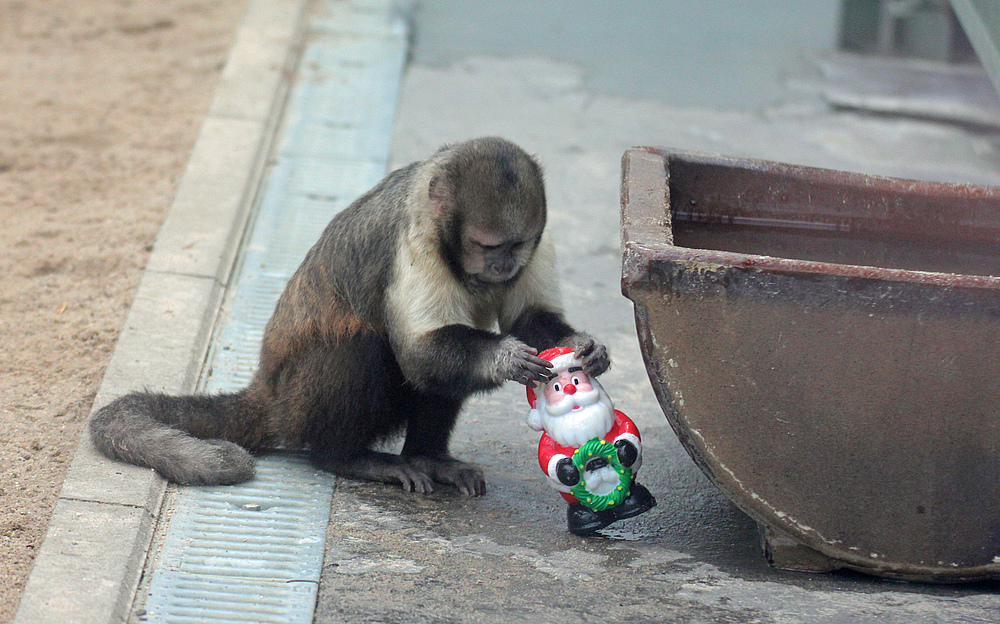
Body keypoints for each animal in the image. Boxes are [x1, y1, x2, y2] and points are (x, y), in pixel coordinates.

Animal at [92, 138, 608, 498]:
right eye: (487, 246)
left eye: (516, 246)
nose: (503, 268)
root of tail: (269, 393)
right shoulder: (413, 240)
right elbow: (419, 353)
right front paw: (505, 357)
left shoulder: (540, 239)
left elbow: (531, 317)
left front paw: (589, 349)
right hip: (300, 401)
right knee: (363, 346)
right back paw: (345, 458)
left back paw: (429, 457)